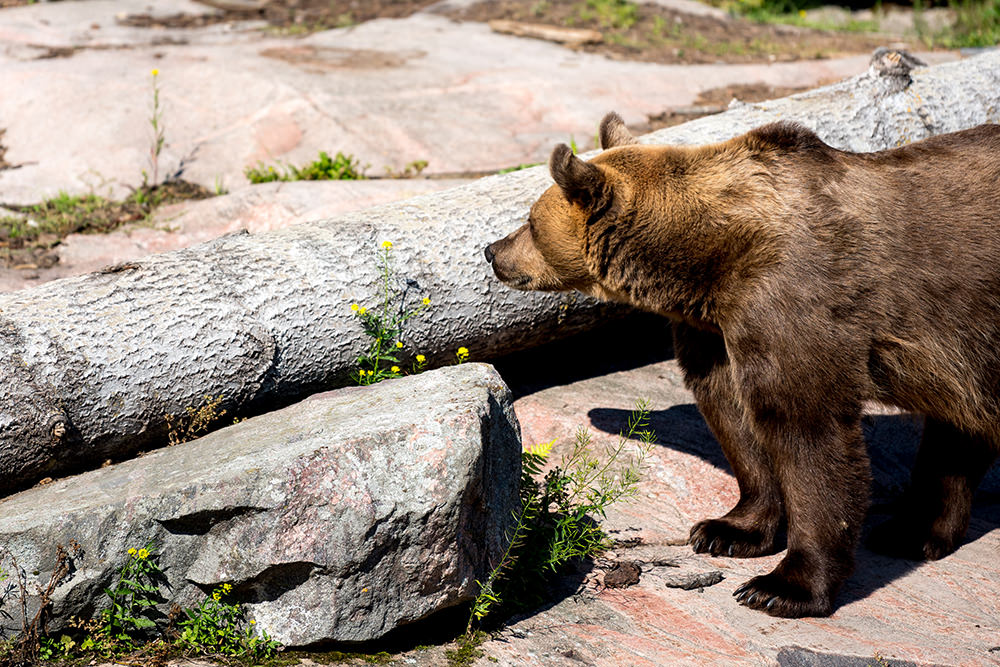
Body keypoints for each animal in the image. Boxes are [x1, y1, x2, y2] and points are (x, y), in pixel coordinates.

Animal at [482, 112, 1000, 620]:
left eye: (529, 221)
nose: (492, 251)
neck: (713, 257)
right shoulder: (718, 328)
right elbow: (735, 416)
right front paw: (726, 530)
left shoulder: (794, 301)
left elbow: (806, 430)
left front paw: (781, 587)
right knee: (956, 433)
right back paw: (913, 530)